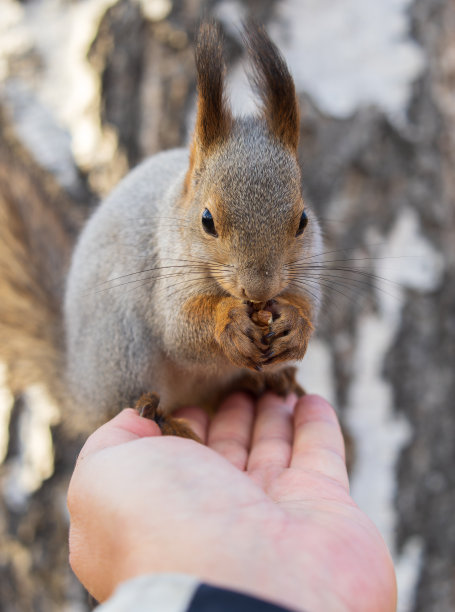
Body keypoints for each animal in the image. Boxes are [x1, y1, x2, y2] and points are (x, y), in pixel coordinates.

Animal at [61, 22, 324, 436]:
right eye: (207, 220)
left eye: (302, 220)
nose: (259, 290)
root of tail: (79, 393)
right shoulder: (165, 269)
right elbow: (180, 329)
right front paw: (228, 320)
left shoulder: (309, 264)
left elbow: (308, 303)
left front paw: (296, 324)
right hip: (121, 348)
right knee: (123, 399)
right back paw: (159, 416)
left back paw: (268, 380)